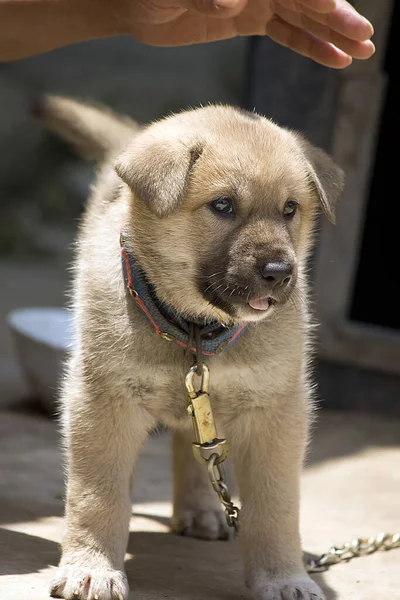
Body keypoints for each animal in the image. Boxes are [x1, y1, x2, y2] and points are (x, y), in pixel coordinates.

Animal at [38, 96, 344, 596]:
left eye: (290, 209)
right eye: (223, 205)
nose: (280, 272)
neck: (196, 328)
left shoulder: (277, 412)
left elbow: (276, 507)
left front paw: (283, 577)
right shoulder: (102, 402)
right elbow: (97, 496)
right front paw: (93, 567)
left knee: (196, 445)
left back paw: (201, 509)